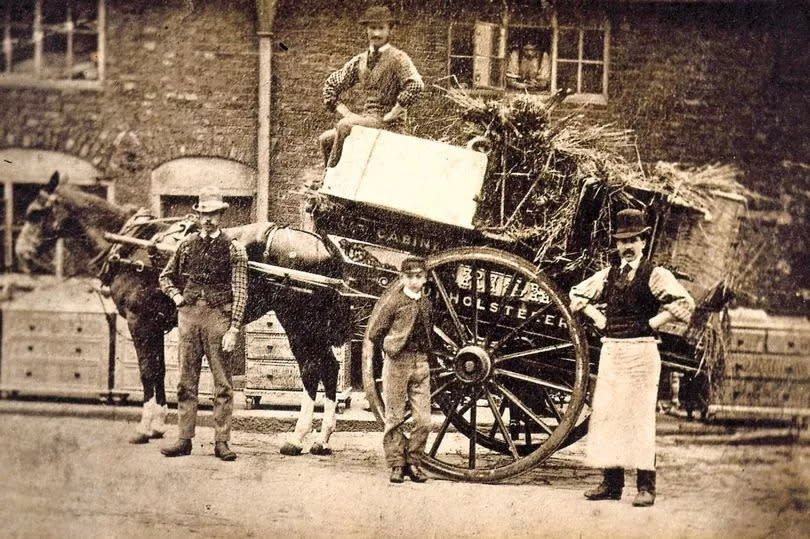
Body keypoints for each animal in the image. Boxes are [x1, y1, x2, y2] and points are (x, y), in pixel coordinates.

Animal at [15, 172, 350, 456]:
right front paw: (158, 425)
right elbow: (160, 370)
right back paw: (322, 439)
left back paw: (297, 438)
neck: (130, 245)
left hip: (298, 322)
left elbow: (147, 371)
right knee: (330, 367)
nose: (22, 254)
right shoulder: (156, 325)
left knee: (311, 370)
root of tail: (322, 244)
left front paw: (144, 427)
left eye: (35, 212)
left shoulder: (140, 322)